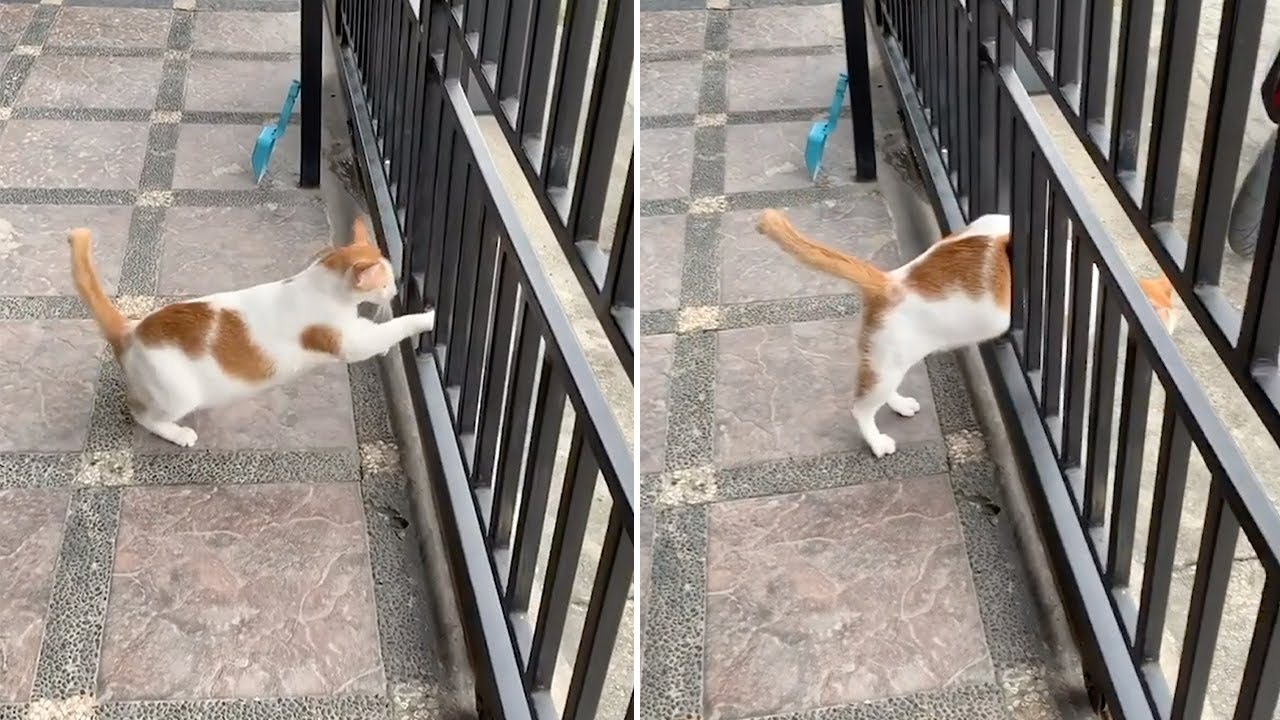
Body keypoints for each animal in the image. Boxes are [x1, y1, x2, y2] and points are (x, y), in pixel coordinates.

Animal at [69, 217, 435, 447]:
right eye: (385, 283)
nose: (393, 290)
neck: (322, 284)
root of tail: (131, 329)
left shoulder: (352, 329)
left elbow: (376, 329)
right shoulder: (346, 341)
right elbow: (391, 328)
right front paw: (425, 319)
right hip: (177, 394)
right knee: (142, 413)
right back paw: (177, 433)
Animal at [755, 209, 1178, 458]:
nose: (1173, 336)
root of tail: (889, 281)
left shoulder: (994, 222)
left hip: (889, 358)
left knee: (881, 389)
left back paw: (900, 405)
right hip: (888, 360)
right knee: (860, 407)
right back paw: (877, 441)